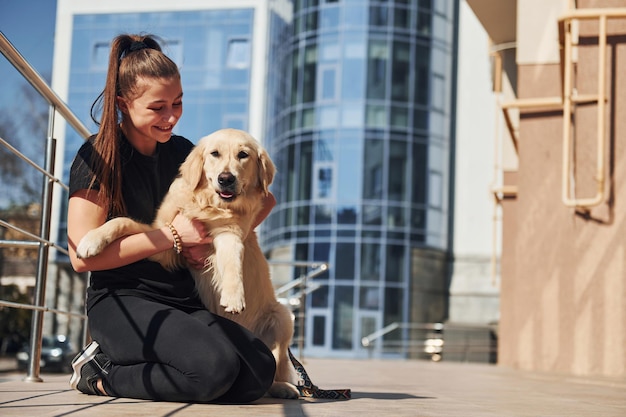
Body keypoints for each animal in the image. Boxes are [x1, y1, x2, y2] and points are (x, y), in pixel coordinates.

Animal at [75, 128, 300, 398]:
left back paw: (284, 388)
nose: (226, 179)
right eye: (215, 153)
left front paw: (234, 296)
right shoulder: (162, 238)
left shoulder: (230, 235)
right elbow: (121, 221)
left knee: (275, 366)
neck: (208, 204)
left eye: (243, 155)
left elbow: (233, 264)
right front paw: (92, 240)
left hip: (283, 318)